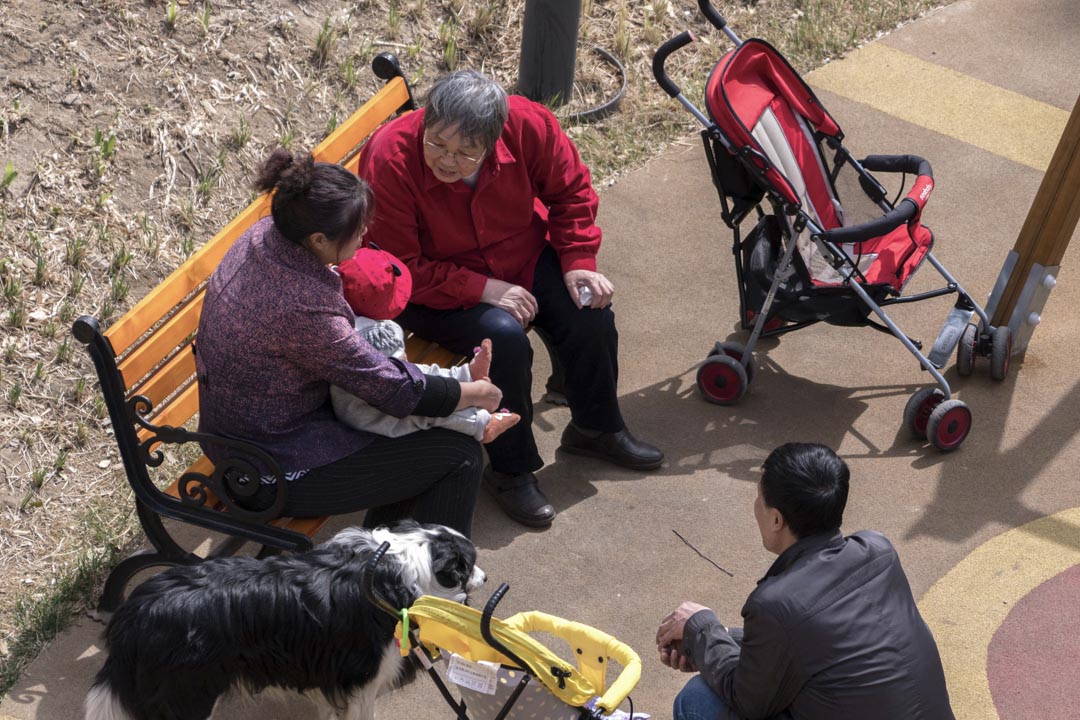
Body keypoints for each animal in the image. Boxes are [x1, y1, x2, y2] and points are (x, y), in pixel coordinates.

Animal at [84, 524, 486, 720]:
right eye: (468, 566)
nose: (483, 578)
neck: (395, 566)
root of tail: (134, 614)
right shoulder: (363, 681)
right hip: (187, 697)